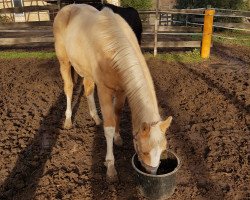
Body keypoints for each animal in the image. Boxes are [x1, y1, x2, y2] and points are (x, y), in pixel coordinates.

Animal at [53, 3, 173, 182]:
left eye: (163, 150)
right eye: (144, 151)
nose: (152, 173)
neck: (113, 48)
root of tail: (67, 8)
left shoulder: (122, 89)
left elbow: (117, 113)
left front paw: (117, 137)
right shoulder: (104, 91)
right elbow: (108, 126)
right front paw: (110, 166)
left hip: (87, 70)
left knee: (88, 89)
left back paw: (96, 118)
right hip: (64, 62)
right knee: (68, 87)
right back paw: (68, 120)